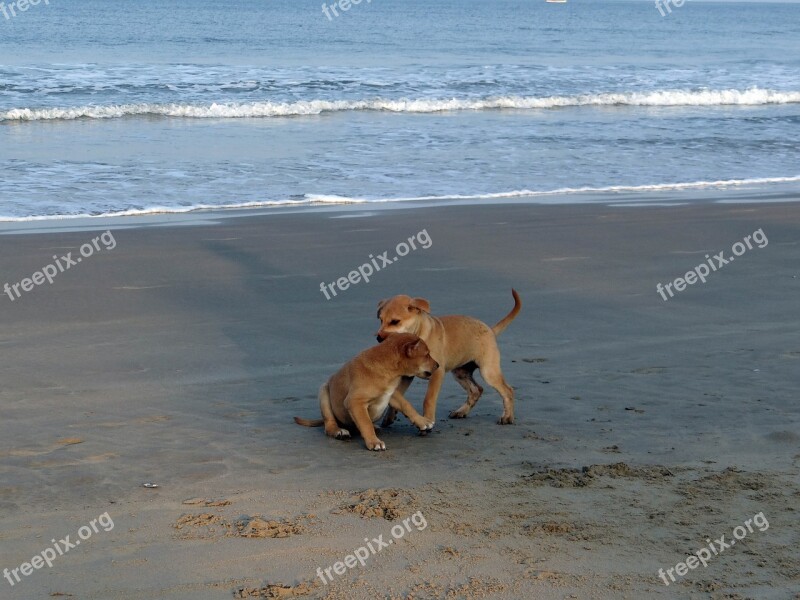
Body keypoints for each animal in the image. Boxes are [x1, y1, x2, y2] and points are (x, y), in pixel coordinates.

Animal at [294, 332, 438, 450]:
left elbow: (406, 405)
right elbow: (365, 423)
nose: (438, 365)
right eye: (427, 355)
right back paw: (338, 431)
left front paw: (422, 421)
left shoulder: (391, 394)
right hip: (324, 392)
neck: (387, 367)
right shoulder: (354, 402)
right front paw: (373, 442)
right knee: (329, 424)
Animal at [378, 290, 520, 424]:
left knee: (508, 391)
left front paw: (428, 419)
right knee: (476, 390)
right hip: (460, 372)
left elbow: (428, 399)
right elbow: (397, 396)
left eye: (395, 321)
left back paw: (507, 417)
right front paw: (389, 417)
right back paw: (461, 412)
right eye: (380, 320)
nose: (378, 337)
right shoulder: (406, 376)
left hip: (488, 372)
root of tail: (490, 330)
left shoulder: (437, 373)